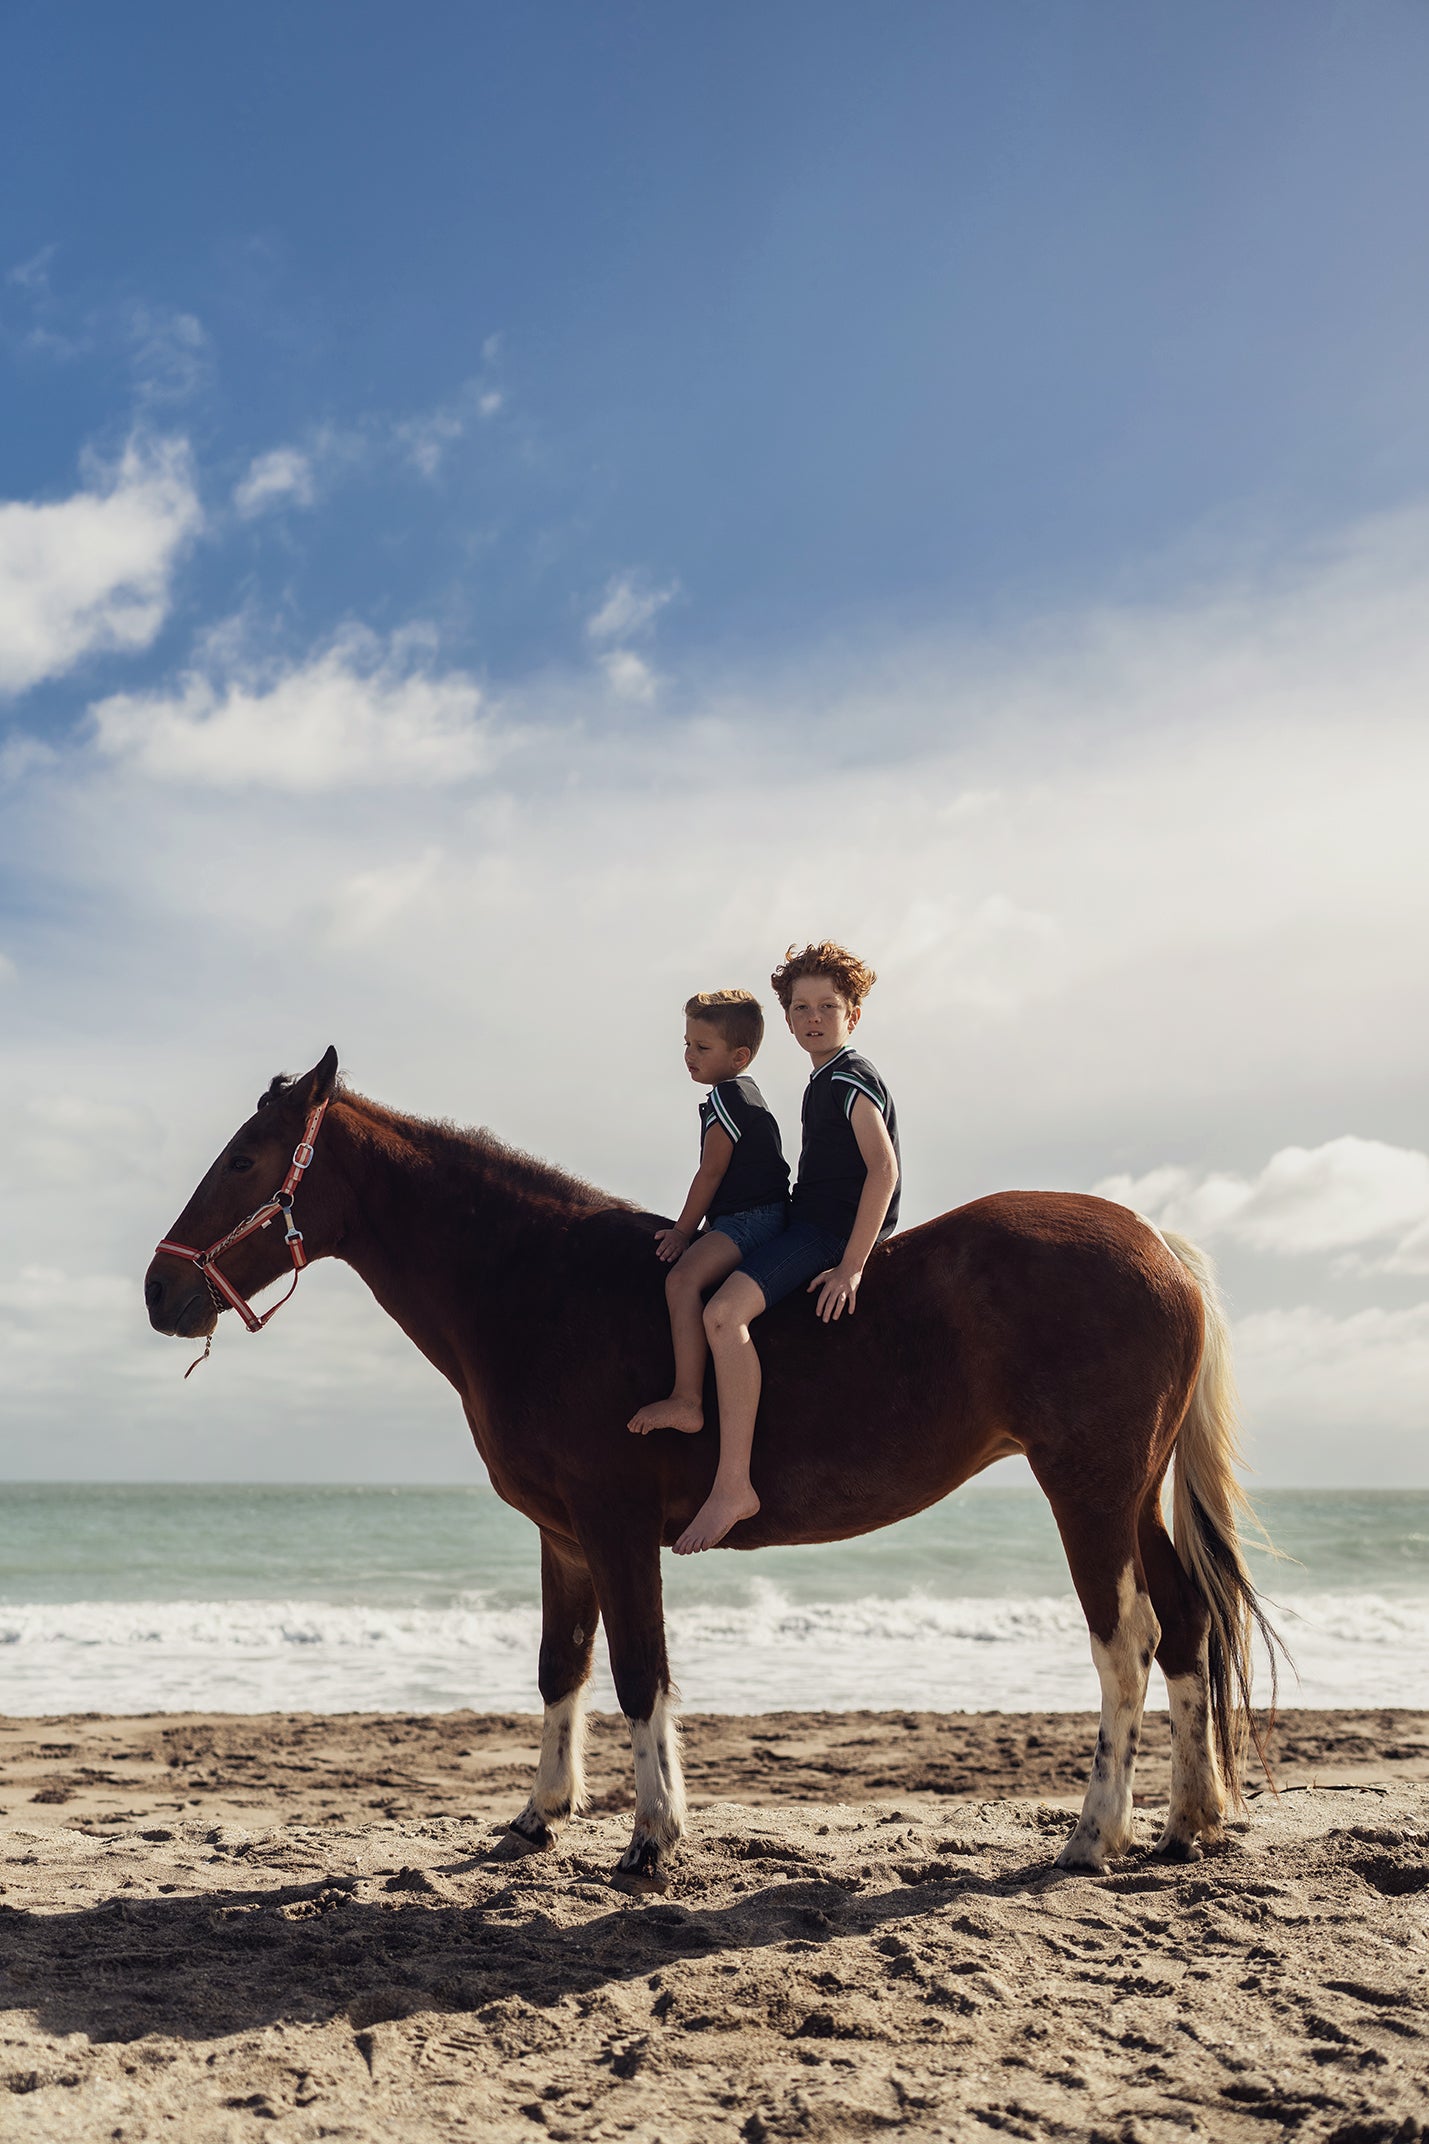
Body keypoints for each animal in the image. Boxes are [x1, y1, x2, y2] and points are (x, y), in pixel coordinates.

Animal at [147, 1050, 1285, 1878]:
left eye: (245, 1160)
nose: (161, 1293)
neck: (535, 1284)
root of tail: (1153, 1239)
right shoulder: (563, 1537)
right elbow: (560, 1667)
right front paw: (538, 1816)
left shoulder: (614, 1528)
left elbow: (641, 1672)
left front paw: (652, 1839)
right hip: (1131, 1495)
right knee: (1186, 1625)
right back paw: (1189, 1821)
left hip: (1085, 1493)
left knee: (1125, 1643)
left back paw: (1096, 1834)